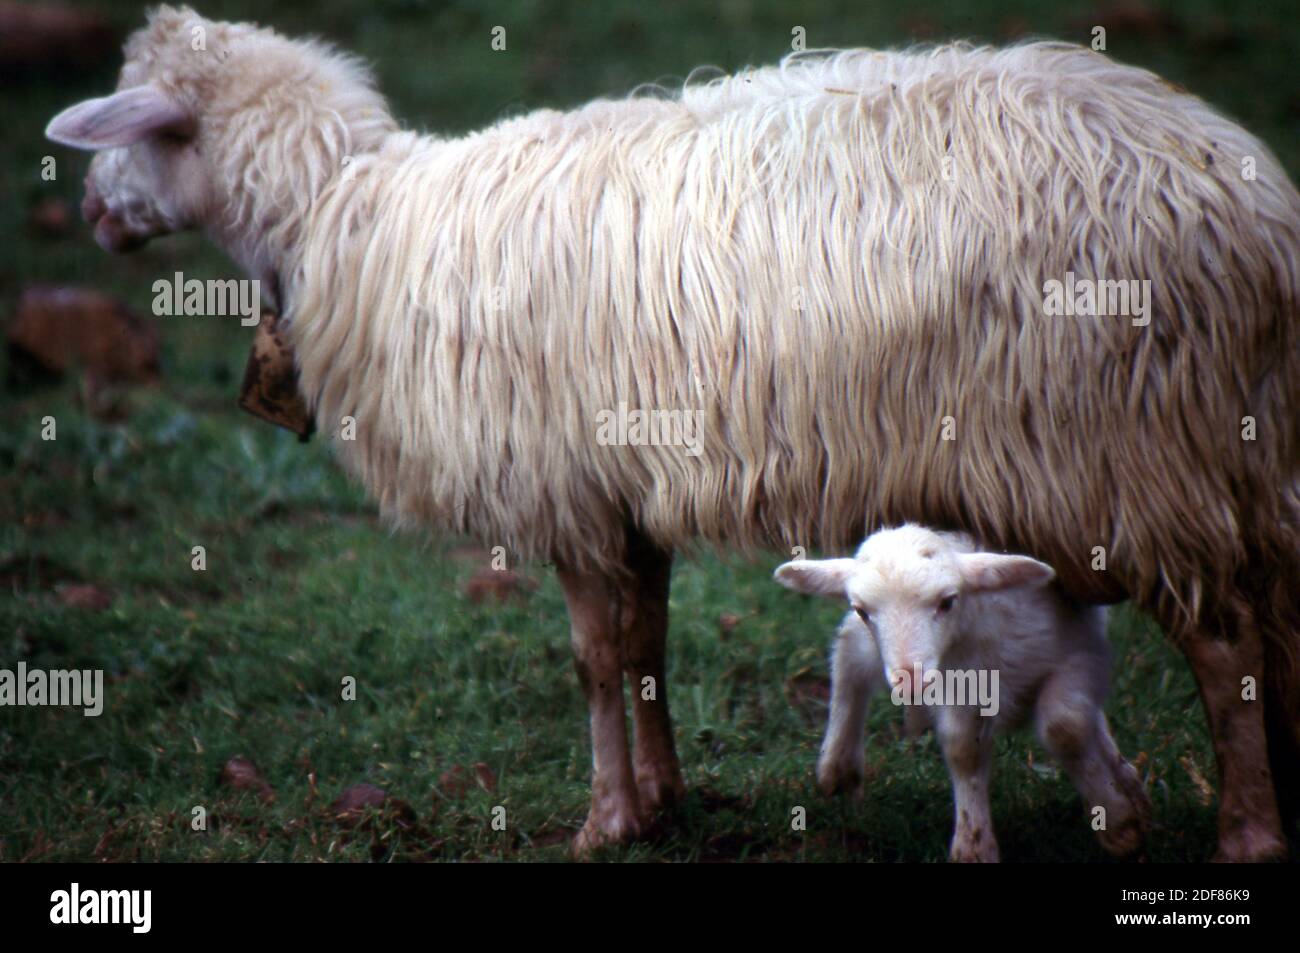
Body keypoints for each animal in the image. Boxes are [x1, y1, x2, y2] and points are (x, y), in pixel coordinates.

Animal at [769, 525, 1149, 858]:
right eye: (863, 610)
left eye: (948, 601)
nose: (909, 681)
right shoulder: (959, 688)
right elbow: (963, 749)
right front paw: (973, 844)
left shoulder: (1077, 656)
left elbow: (1066, 728)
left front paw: (1117, 821)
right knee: (848, 653)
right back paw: (839, 764)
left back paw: (1126, 780)